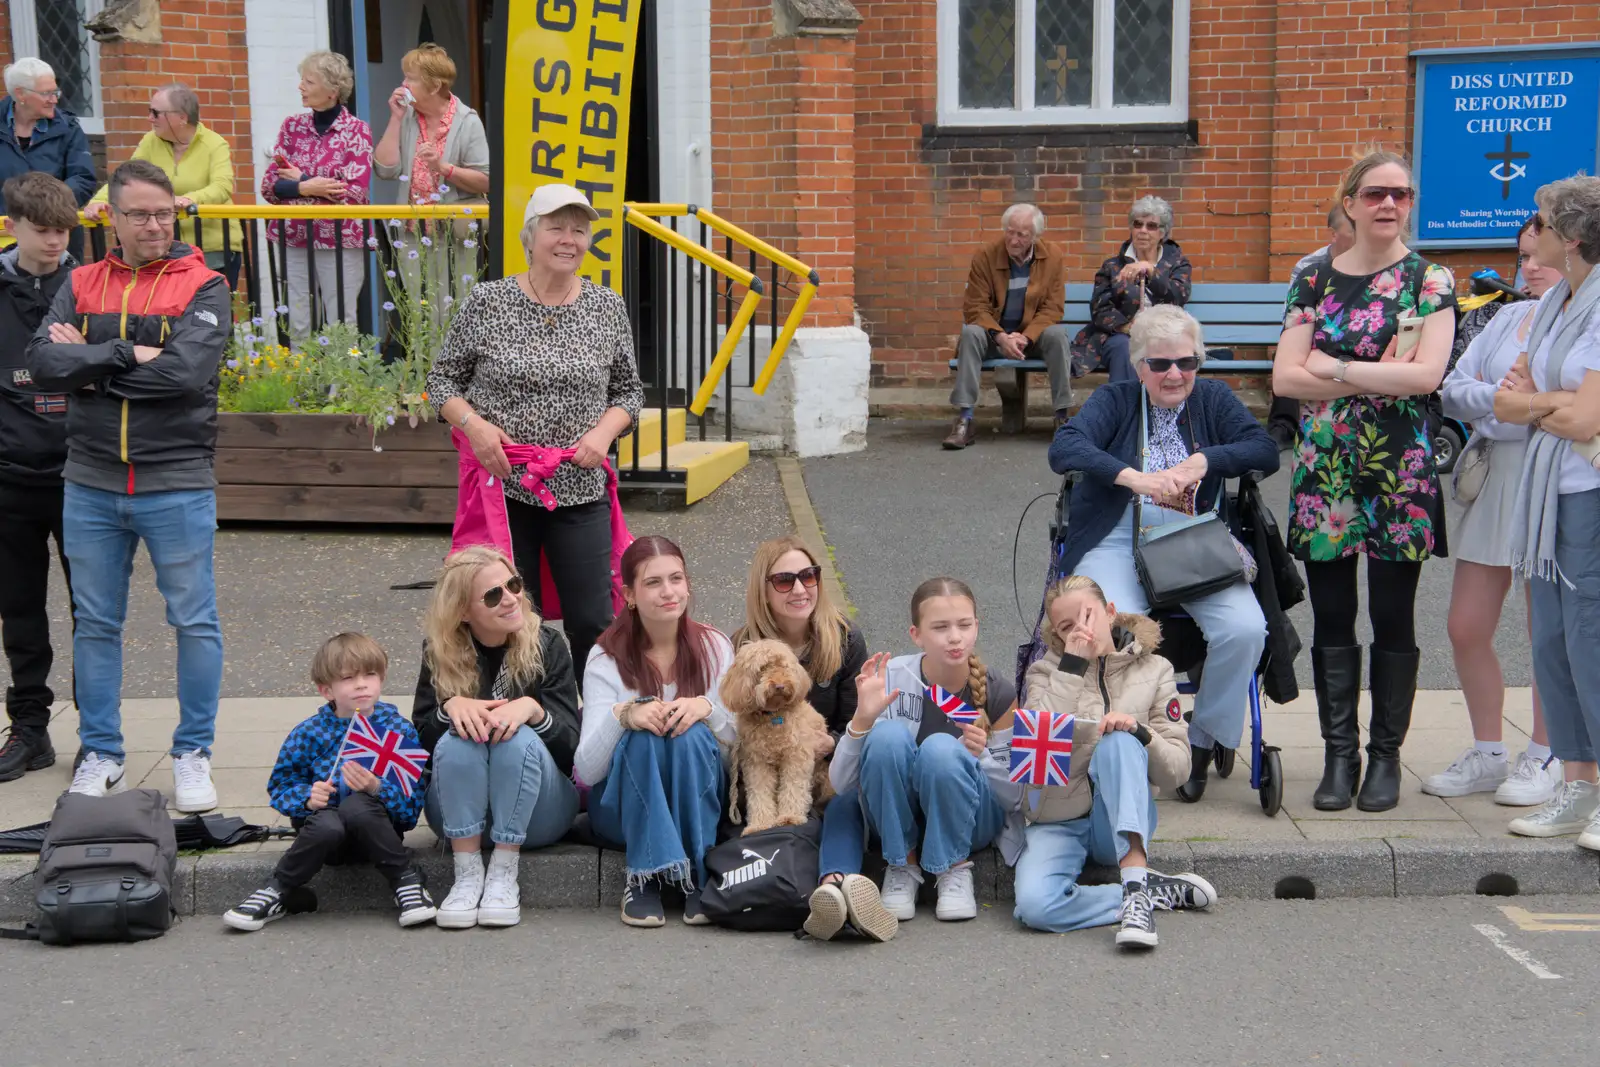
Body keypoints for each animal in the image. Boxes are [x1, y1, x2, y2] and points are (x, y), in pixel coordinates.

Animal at [720, 633, 832, 831]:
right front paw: (760, 824)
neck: (773, 716)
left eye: (783, 666)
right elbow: (759, 794)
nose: (779, 686)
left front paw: (790, 817)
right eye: (762, 669)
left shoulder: (796, 757)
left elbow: (793, 787)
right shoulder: (756, 763)